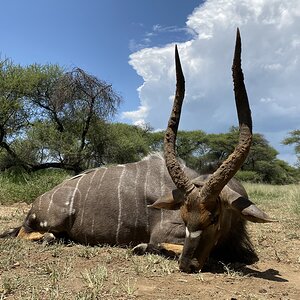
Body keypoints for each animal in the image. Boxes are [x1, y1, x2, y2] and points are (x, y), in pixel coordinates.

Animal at [0, 29, 272, 274]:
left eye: (214, 217)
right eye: (184, 216)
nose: (188, 265)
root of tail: (37, 203)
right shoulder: (164, 233)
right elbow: (158, 244)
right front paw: (140, 247)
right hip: (49, 223)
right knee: (31, 234)